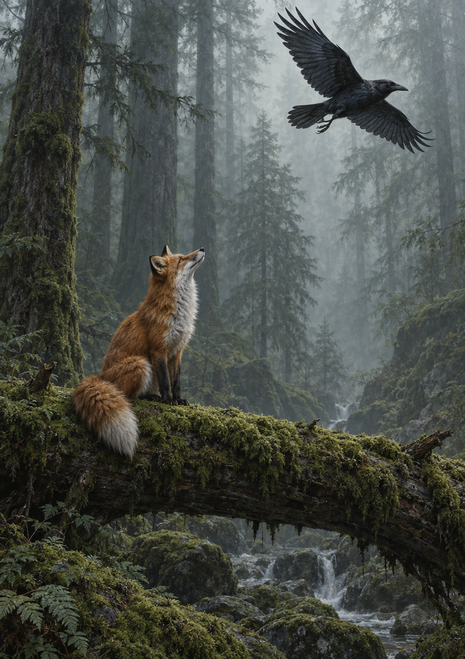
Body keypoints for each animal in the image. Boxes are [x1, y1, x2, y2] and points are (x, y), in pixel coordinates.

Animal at [73, 245, 205, 458]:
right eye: (182, 259)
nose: (201, 248)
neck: (178, 313)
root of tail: (100, 377)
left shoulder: (177, 351)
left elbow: (176, 381)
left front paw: (179, 399)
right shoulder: (158, 350)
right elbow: (165, 382)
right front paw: (168, 401)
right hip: (140, 363)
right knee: (128, 395)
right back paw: (150, 397)